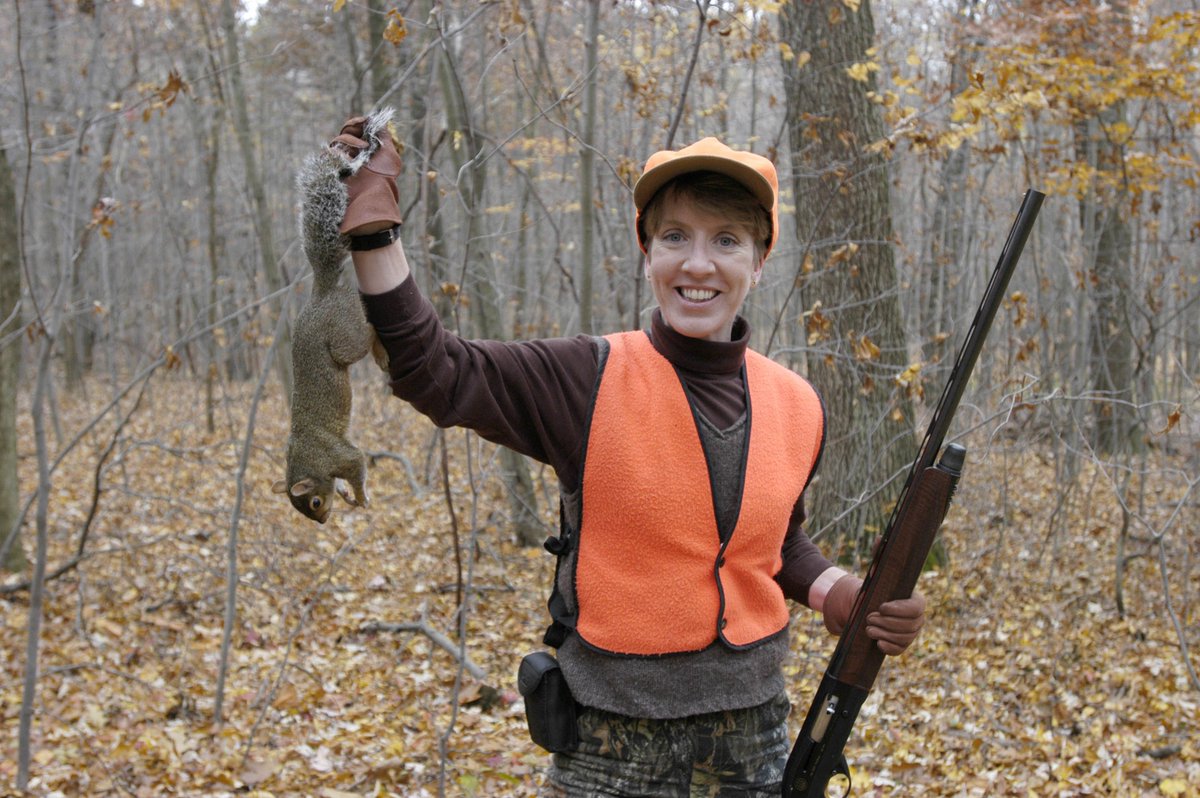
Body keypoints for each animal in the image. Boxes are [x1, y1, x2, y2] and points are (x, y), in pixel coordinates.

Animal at [272, 109, 393, 524]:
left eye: (313, 503)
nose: (323, 521)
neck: (309, 461)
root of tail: (322, 292)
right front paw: (348, 496)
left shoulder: (340, 455)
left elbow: (356, 465)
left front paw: (360, 497)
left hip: (343, 335)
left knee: (366, 330)